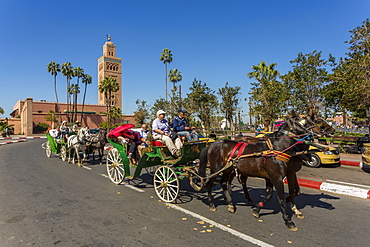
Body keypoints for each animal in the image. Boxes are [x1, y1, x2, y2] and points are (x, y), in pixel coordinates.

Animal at [191, 111, 336, 231]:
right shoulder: (278, 177)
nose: (330, 131)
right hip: (216, 168)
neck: (279, 148)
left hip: (229, 170)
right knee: (210, 183)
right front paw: (288, 221)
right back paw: (212, 203)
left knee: (224, 183)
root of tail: (212, 144)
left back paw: (231, 204)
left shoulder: (275, 176)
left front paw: (257, 209)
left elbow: (271, 194)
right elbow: (282, 198)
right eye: (305, 122)